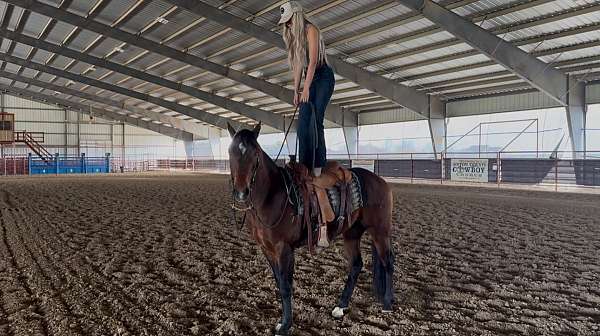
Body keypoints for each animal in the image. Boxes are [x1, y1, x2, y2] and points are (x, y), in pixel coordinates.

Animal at [227, 123, 392, 336]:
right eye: (230, 151)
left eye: (255, 153)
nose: (241, 192)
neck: (274, 194)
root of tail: (380, 181)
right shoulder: (266, 249)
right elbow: (278, 282)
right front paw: (283, 322)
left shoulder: (284, 249)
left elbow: (286, 286)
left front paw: (285, 325)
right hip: (352, 233)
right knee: (356, 265)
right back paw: (341, 306)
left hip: (380, 231)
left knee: (388, 263)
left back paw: (387, 304)